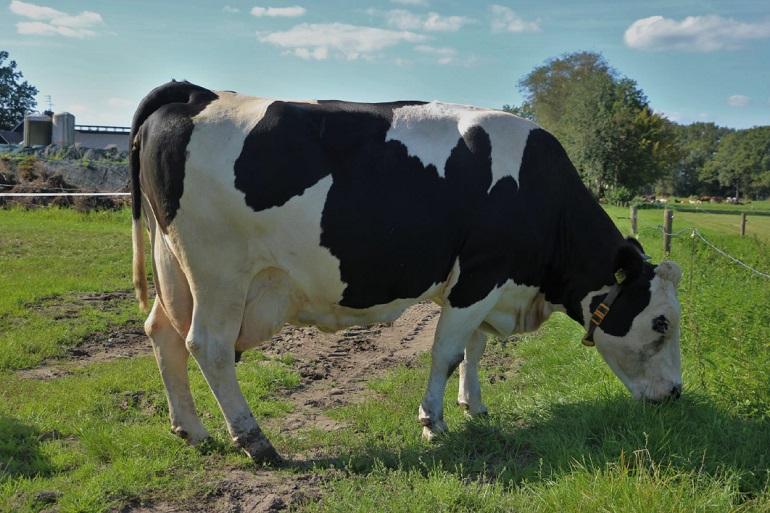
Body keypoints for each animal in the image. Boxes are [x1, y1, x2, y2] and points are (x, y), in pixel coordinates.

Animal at [129, 81, 680, 464]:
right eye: (661, 322)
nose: (676, 394)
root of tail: (198, 94)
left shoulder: (487, 285)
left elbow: (474, 350)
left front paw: (474, 406)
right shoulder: (479, 276)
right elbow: (447, 353)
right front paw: (433, 422)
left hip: (172, 266)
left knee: (163, 334)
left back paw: (192, 430)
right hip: (219, 272)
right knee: (209, 346)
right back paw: (255, 440)